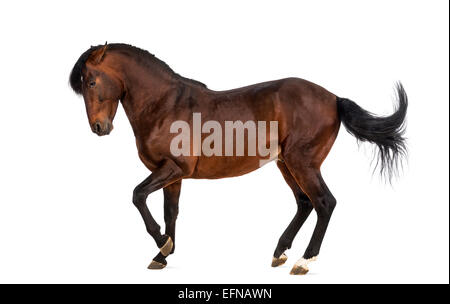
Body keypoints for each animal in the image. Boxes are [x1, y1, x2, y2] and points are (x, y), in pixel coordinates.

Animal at [67, 43, 408, 276]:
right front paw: (163, 254)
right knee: (304, 203)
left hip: (302, 163)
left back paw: (304, 261)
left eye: (91, 82)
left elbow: (138, 196)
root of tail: (334, 99)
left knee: (324, 203)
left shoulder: (172, 169)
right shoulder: (172, 175)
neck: (164, 104)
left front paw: (162, 244)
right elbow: (170, 213)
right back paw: (279, 252)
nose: (99, 128)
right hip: (286, 164)